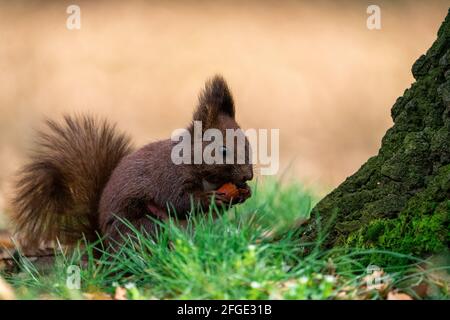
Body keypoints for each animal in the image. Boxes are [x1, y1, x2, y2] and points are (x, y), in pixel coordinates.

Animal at [11, 75, 253, 250]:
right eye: (223, 150)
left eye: (249, 145)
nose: (248, 176)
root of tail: (102, 247)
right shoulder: (169, 176)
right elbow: (179, 201)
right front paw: (209, 198)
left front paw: (245, 193)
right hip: (143, 224)